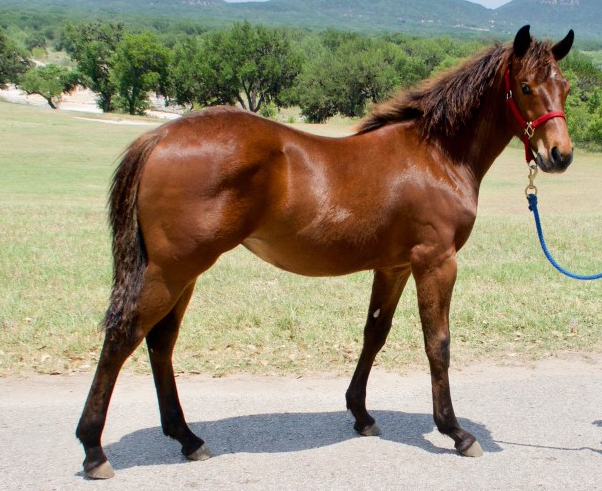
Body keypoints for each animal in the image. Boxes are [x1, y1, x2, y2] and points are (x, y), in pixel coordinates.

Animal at [75, 25, 572, 478]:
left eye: (565, 86)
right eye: (526, 87)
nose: (560, 155)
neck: (436, 155)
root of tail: (160, 137)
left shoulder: (393, 266)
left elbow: (375, 333)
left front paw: (361, 414)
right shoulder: (435, 262)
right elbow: (438, 343)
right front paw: (456, 432)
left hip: (184, 273)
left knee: (160, 341)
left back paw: (187, 439)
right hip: (170, 271)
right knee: (123, 336)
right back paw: (94, 449)